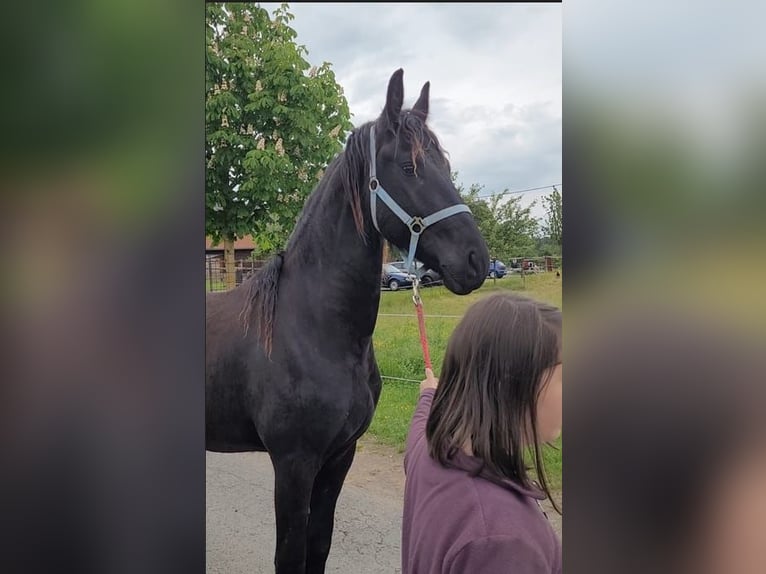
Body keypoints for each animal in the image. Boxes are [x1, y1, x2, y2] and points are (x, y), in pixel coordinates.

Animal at [206, 68, 490, 574]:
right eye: (410, 167)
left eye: (445, 165)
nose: (476, 260)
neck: (311, 330)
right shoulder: (293, 463)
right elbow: (290, 554)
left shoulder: (340, 456)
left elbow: (319, 544)